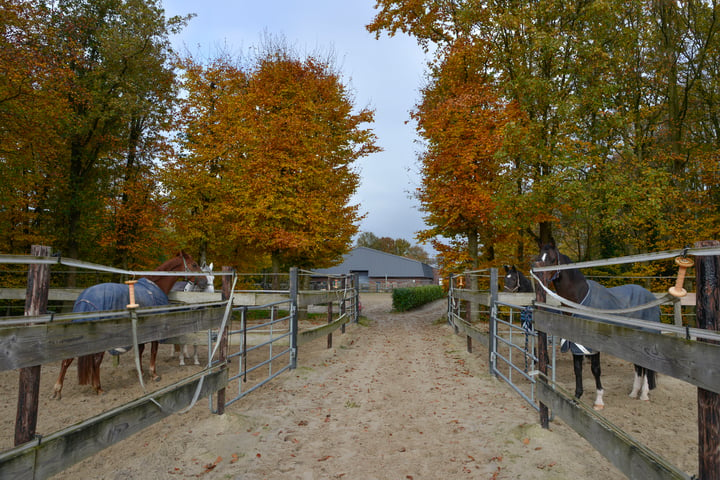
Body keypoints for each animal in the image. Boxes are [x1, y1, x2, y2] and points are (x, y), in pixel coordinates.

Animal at [536, 244, 660, 408]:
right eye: (539, 257)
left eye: (551, 259)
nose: (539, 276)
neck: (580, 298)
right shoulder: (576, 343)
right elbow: (577, 369)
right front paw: (576, 397)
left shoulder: (593, 345)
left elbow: (595, 369)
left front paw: (599, 401)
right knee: (638, 366)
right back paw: (634, 393)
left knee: (646, 367)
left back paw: (644, 394)